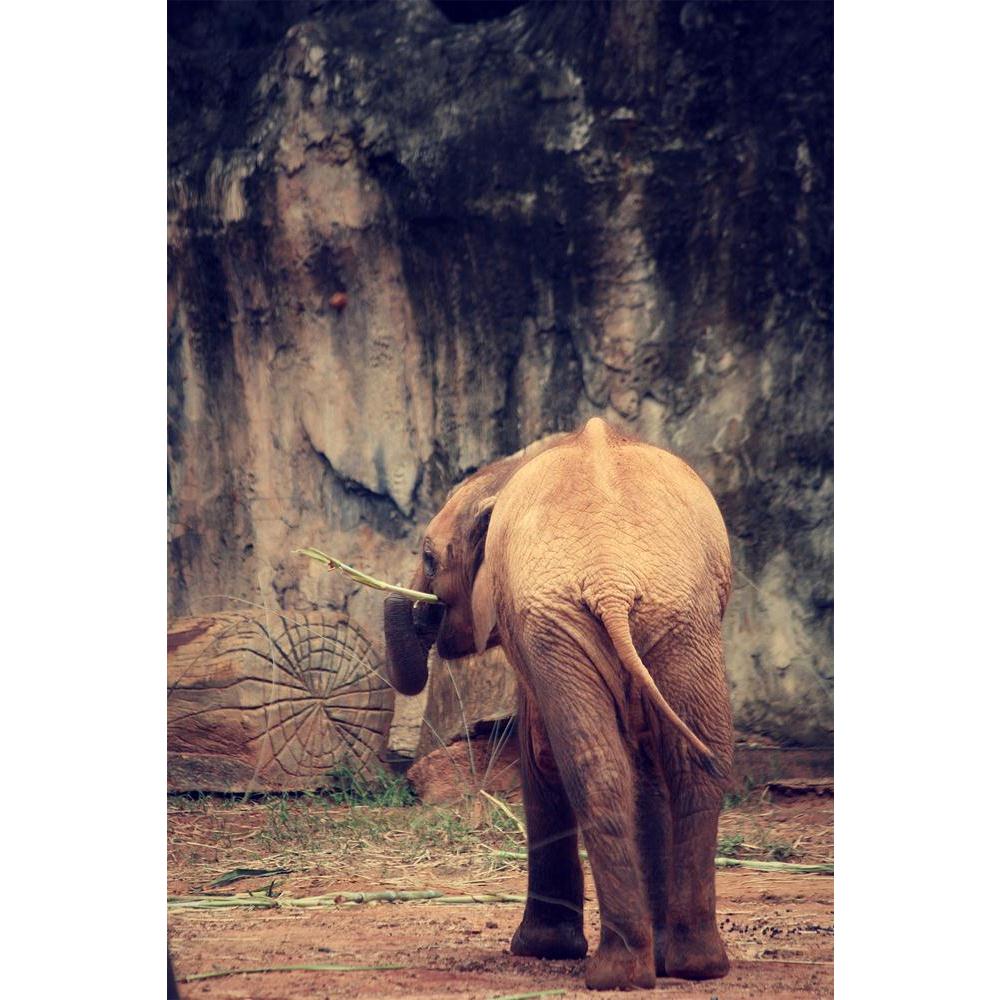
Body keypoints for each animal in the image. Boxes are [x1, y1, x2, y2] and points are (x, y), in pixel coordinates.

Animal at [384, 417, 734, 990]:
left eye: (430, 558)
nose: (420, 611)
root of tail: (613, 580)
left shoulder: (528, 629)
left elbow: (541, 753)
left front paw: (540, 950)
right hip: (679, 618)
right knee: (689, 761)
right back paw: (690, 965)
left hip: (591, 620)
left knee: (593, 765)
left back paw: (620, 973)